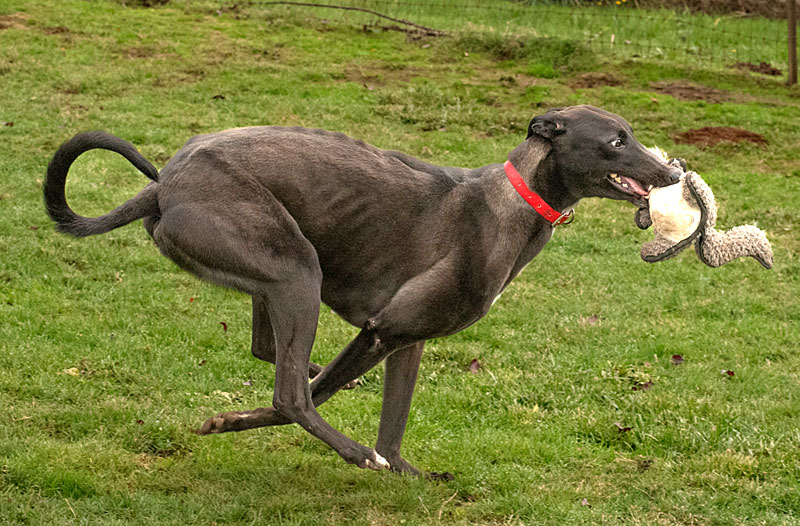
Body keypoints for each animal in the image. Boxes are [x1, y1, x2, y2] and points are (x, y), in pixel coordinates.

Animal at [45, 106, 680, 478]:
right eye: (617, 141)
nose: (672, 175)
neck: (510, 204)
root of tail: (164, 185)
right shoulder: (382, 331)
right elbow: (311, 399)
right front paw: (231, 422)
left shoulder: (408, 341)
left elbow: (392, 424)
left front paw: (406, 471)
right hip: (295, 272)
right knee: (292, 395)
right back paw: (352, 450)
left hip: (277, 271)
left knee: (268, 351)